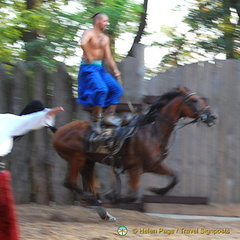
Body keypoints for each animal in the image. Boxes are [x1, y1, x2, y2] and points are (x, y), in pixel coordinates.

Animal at [52, 86, 218, 221]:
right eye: (195, 100)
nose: (213, 116)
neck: (152, 131)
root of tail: (58, 131)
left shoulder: (154, 166)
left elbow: (175, 177)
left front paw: (157, 190)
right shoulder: (135, 168)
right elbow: (133, 196)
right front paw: (112, 196)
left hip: (88, 162)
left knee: (86, 186)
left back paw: (103, 212)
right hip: (77, 159)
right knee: (70, 182)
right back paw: (96, 201)